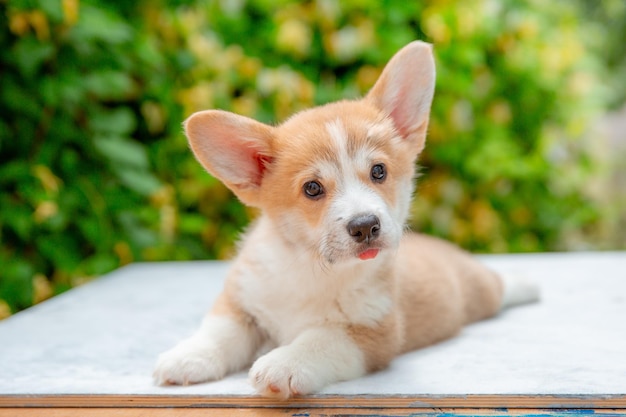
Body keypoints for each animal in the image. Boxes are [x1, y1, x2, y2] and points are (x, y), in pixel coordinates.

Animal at [151, 40, 536, 398]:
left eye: (379, 171)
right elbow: (219, 330)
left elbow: (319, 339)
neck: (310, 269)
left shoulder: (372, 333)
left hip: (478, 290)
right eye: (312, 188)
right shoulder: (242, 302)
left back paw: (525, 285)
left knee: (497, 286)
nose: (365, 225)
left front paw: (283, 363)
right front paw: (186, 357)